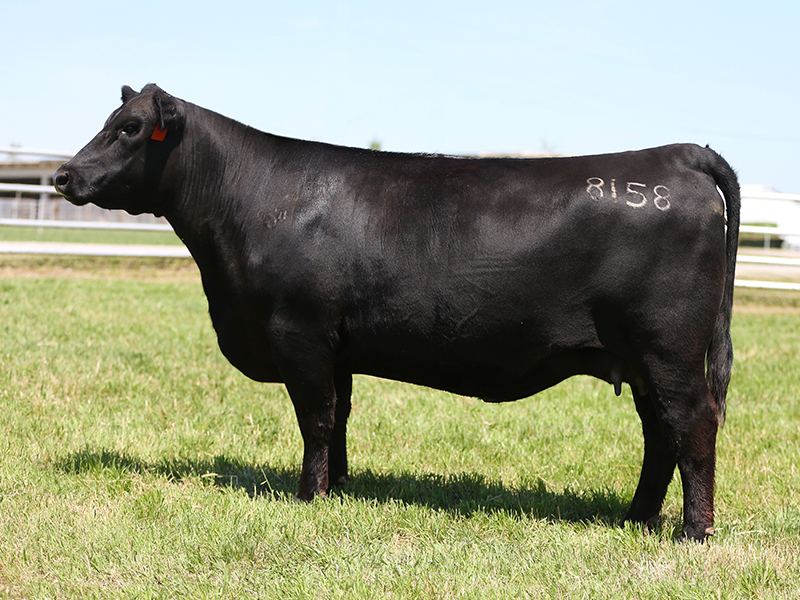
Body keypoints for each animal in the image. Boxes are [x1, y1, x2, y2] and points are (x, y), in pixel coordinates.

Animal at [54, 84, 740, 542]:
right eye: (111, 120)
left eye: (131, 128)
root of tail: (677, 154)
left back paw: (692, 532)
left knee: (693, 425)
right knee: (660, 434)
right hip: (643, 360)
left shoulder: (299, 331)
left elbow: (316, 417)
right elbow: (339, 417)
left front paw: (306, 498)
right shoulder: (336, 344)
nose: (63, 174)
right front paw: (339, 488)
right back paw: (635, 518)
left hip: (669, 351)